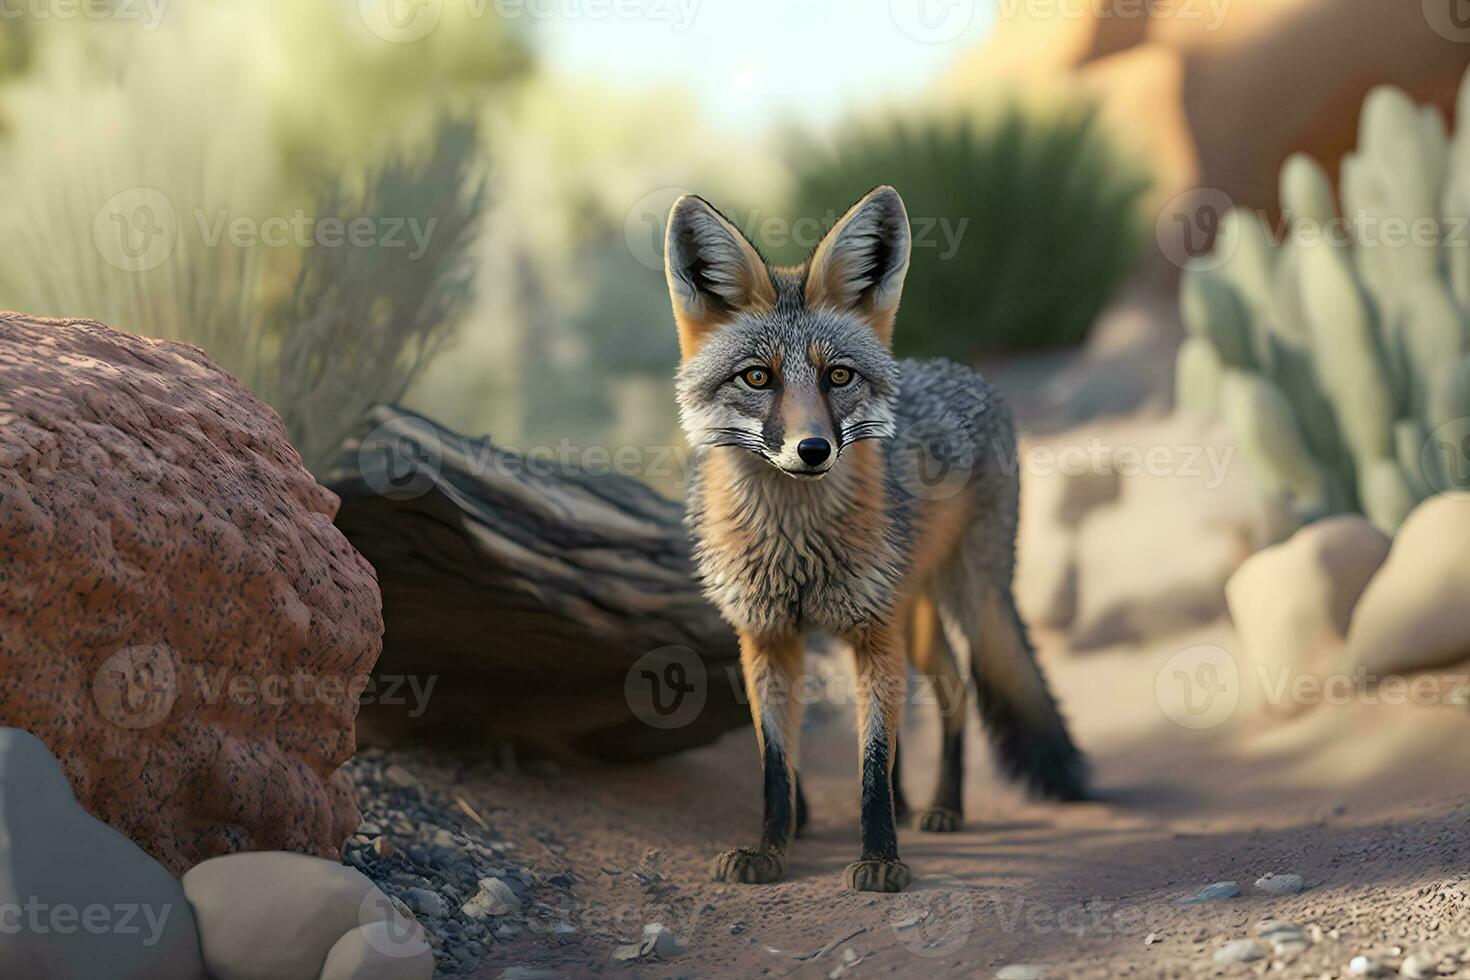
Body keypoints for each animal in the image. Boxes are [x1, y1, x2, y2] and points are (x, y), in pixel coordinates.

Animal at [661, 185, 1087, 899]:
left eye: (838, 377)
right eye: (757, 378)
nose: (811, 450)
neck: (796, 546)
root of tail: (960, 369)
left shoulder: (871, 631)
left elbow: (871, 759)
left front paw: (882, 859)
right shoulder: (767, 636)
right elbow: (775, 759)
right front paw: (771, 847)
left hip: (965, 602)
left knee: (958, 691)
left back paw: (943, 807)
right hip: (903, 620)